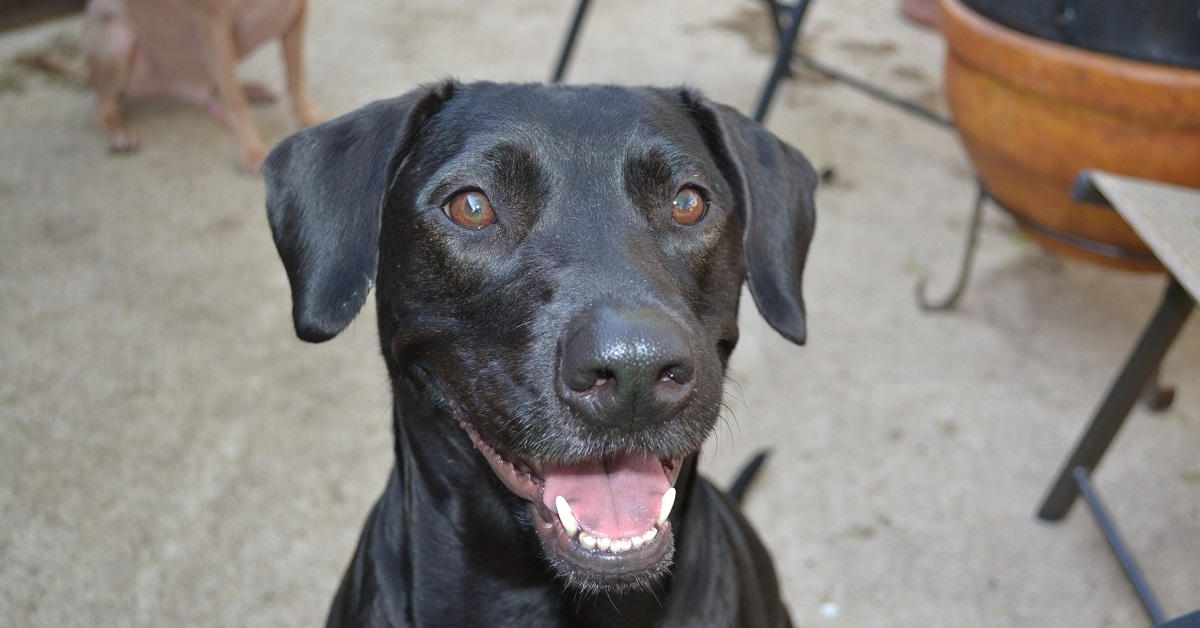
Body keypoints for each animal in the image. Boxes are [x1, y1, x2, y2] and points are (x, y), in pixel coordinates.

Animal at [82, 0, 324, 170]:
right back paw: (120, 133)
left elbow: (296, 73)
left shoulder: (297, 12)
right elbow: (235, 100)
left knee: (220, 85)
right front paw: (250, 149)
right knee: (99, 109)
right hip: (116, 44)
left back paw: (256, 90)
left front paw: (308, 115)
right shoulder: (215, 25)